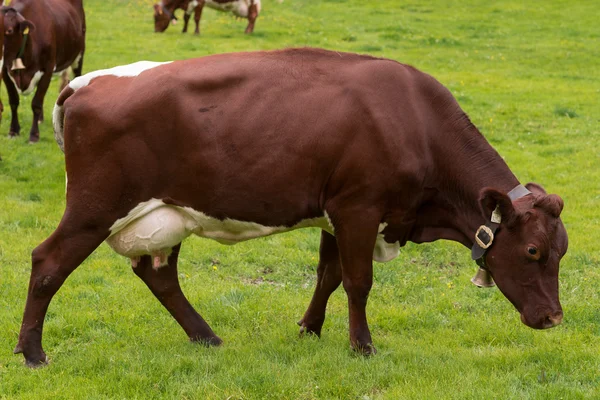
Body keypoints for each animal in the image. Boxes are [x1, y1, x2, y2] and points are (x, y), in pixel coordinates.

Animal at [0, 0, 85, 143]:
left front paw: (34, 135)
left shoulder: (48, 68)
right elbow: (14, 101)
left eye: (9, 31)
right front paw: (13, 131)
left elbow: (36, 103)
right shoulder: (5, 71)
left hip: (78, 55)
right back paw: (40, 119)